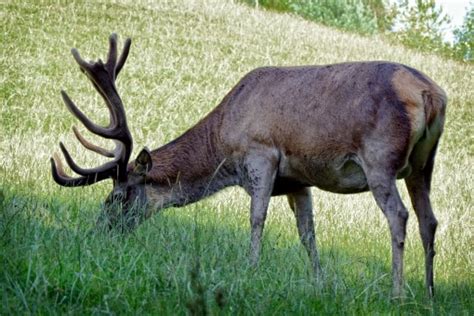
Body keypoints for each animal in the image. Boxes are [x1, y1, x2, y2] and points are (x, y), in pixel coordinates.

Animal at [50, 34, 446, 296]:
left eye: (116, 197)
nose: (97, 232)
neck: (224, 145)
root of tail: (431, 95)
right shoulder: (298, 179)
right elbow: (308, 232)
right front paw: (318, 282)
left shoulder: (262, 153)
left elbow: (257, 218)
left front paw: (250, 269)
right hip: (423, 164)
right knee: (429, 219)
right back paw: (428, 294)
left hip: (380, 159)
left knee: (399, 215)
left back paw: (397, 294)